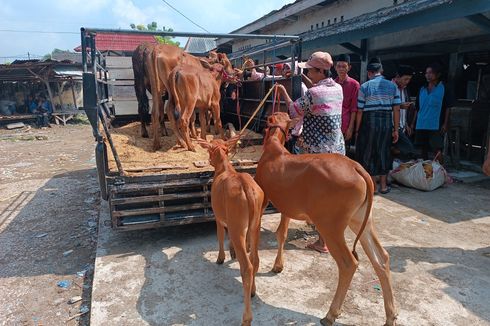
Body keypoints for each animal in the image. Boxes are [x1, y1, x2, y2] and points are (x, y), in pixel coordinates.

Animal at [198, 138, 264, 326]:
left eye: (209, 150)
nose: (208, 160)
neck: (225, 169)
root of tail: (246, 186)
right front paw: (232, 252)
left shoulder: (218, 216)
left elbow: (220, 236)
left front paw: (221, 258)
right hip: (256, 225)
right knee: (255, 259)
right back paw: (253, 291)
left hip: (237, 227)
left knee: (247, 267)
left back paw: (246, 318)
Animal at [255, 111, 396, 324]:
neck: (274, 148)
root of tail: (357, 167)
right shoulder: (287, 206)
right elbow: (281, 233)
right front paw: (278, 265)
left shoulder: (263, 198)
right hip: (361, 220)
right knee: (381, 258)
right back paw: (391, 315)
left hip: (330, 226)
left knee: (348, 264)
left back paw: (331, 314)